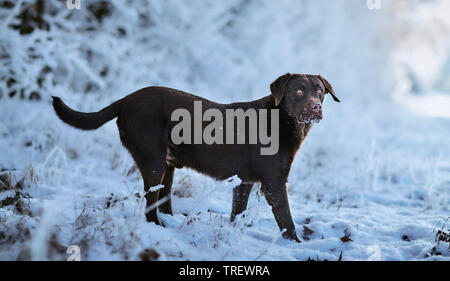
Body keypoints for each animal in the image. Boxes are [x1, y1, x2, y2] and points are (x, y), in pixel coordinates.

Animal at [52, 72, 340, 241]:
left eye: (320, 91)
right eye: (299, 90)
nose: (316, 107)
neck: (284, 121)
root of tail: (125, 99)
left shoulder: (244, 182)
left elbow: (237, 213)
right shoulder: (274, 184)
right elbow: (287, 221)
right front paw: (296, 244)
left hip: (167, 166)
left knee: (162, 199)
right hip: (153, 160)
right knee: (149, 204)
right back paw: (158, 228)